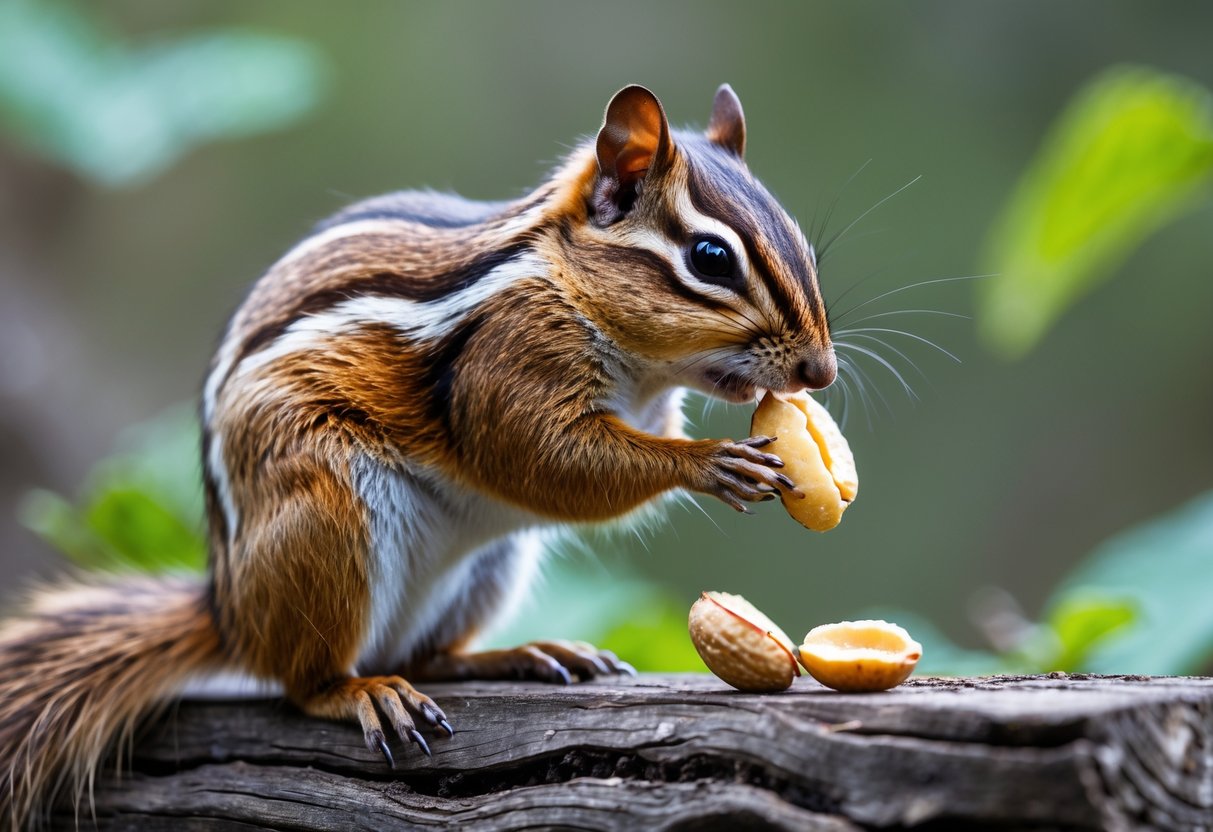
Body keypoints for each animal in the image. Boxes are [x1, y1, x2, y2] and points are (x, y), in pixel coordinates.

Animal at [0, 84, 836, 828]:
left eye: (801, 243)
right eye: (709, 257)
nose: (819, 372)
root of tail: (230, 612)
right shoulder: (506, 362)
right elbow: (546, 460)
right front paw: (711, 461)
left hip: (488, 565)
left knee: (428, 655)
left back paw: (518, 656)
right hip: (328, 515)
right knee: (302, 681)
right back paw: (362, 691)